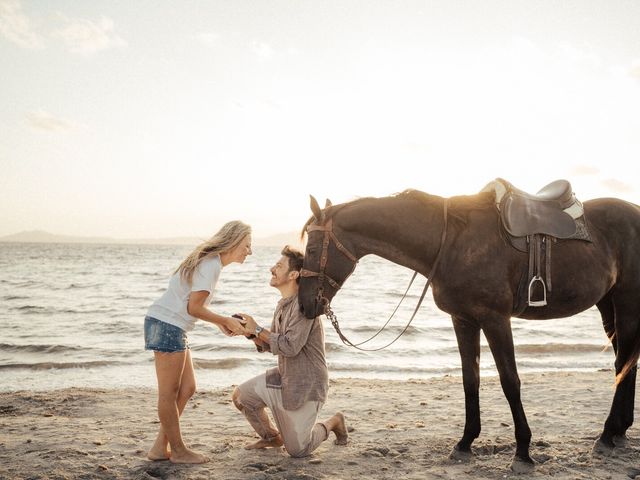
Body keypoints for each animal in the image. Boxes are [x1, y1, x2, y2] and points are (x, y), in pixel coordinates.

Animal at [298, 187, 640, 472]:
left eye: (312, 250)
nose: (304, 305)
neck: (450, 241)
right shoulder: (463, 320)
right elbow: (469, 380)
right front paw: (465, 443)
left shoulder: (495, 319)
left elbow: (510, 381)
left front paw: (523, 452)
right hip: (608, 305)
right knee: (624, 363)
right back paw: (618, 431)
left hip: (626, 303)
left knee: (624, 362)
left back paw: (607, 434)